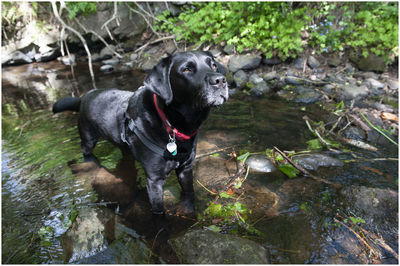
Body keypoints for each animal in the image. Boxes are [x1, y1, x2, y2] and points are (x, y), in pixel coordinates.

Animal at [53, 51, 228, 216]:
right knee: (86, 152)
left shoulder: (186, 169)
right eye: (186, 69)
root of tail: (84, 97)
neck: (171, 124)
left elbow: (189, 194)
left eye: (213, 65)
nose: (220, 80)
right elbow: (159, 212)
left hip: (124, 147)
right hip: (88, 139)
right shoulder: (154, 181)